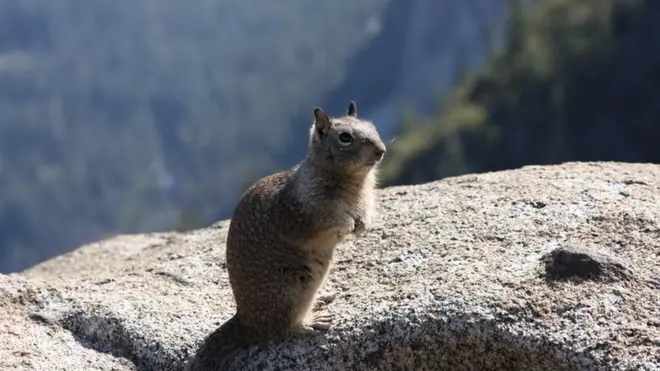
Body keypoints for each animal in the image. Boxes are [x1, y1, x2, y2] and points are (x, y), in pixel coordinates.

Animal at [183, 101, 384, 371]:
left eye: (373, 127)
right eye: (345, 137)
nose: (381, 151)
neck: (354, 182)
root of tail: (246, 323)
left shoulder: (365, 199)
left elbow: (363, 216)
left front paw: (362, 225)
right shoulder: (306, 212)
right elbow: (328, 221)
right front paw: (349, 223)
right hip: (289, 293)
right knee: (285, 328)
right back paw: (312, 320)